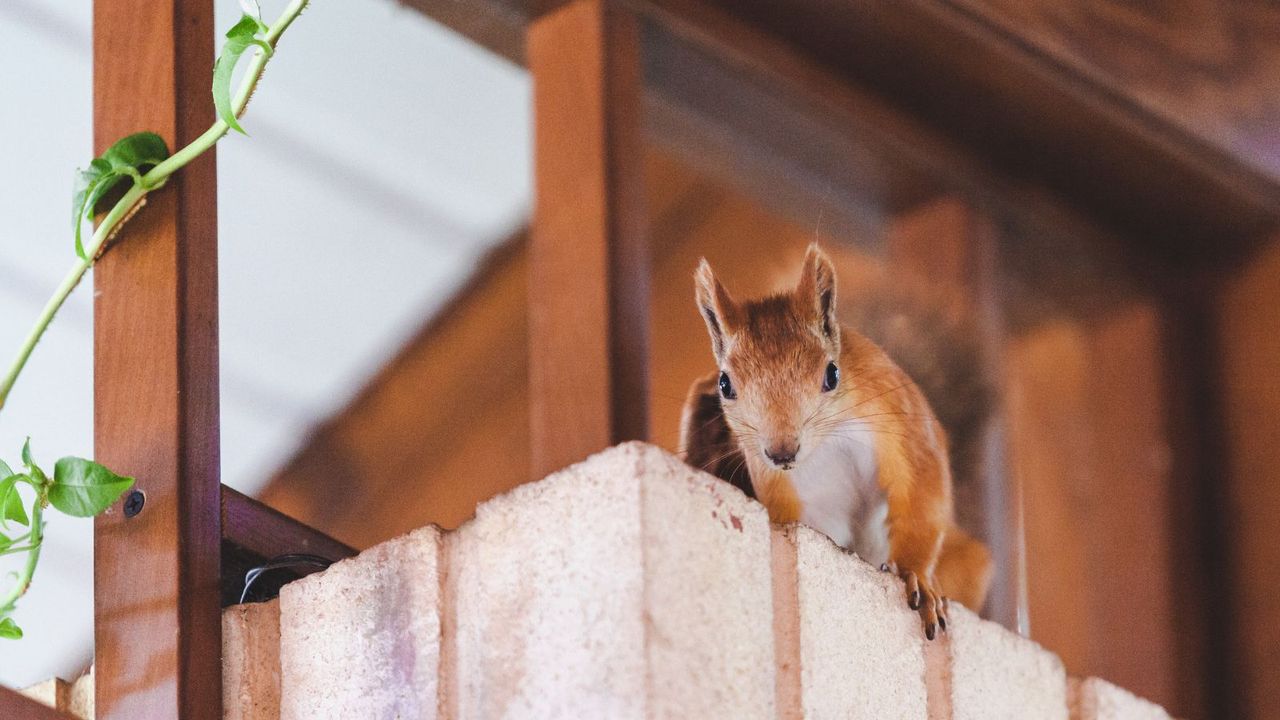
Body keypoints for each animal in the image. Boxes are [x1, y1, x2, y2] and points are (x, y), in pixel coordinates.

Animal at [680, 243, 988, 635]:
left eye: (832, 373)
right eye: (725, 384)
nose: (782, 453)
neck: (826, 441)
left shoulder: (899, 415)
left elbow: (922, 492)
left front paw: (917, 577)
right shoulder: (780, 490)